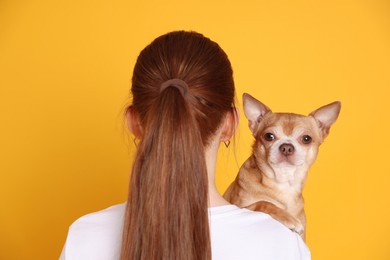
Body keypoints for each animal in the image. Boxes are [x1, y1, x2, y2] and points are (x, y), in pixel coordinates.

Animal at [224, 93, 340, 240]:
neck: (283, 181)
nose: (287, 147)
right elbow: (264, 203)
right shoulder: (241, 207)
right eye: (269, 136)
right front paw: (288, 218)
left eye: (306, 139)